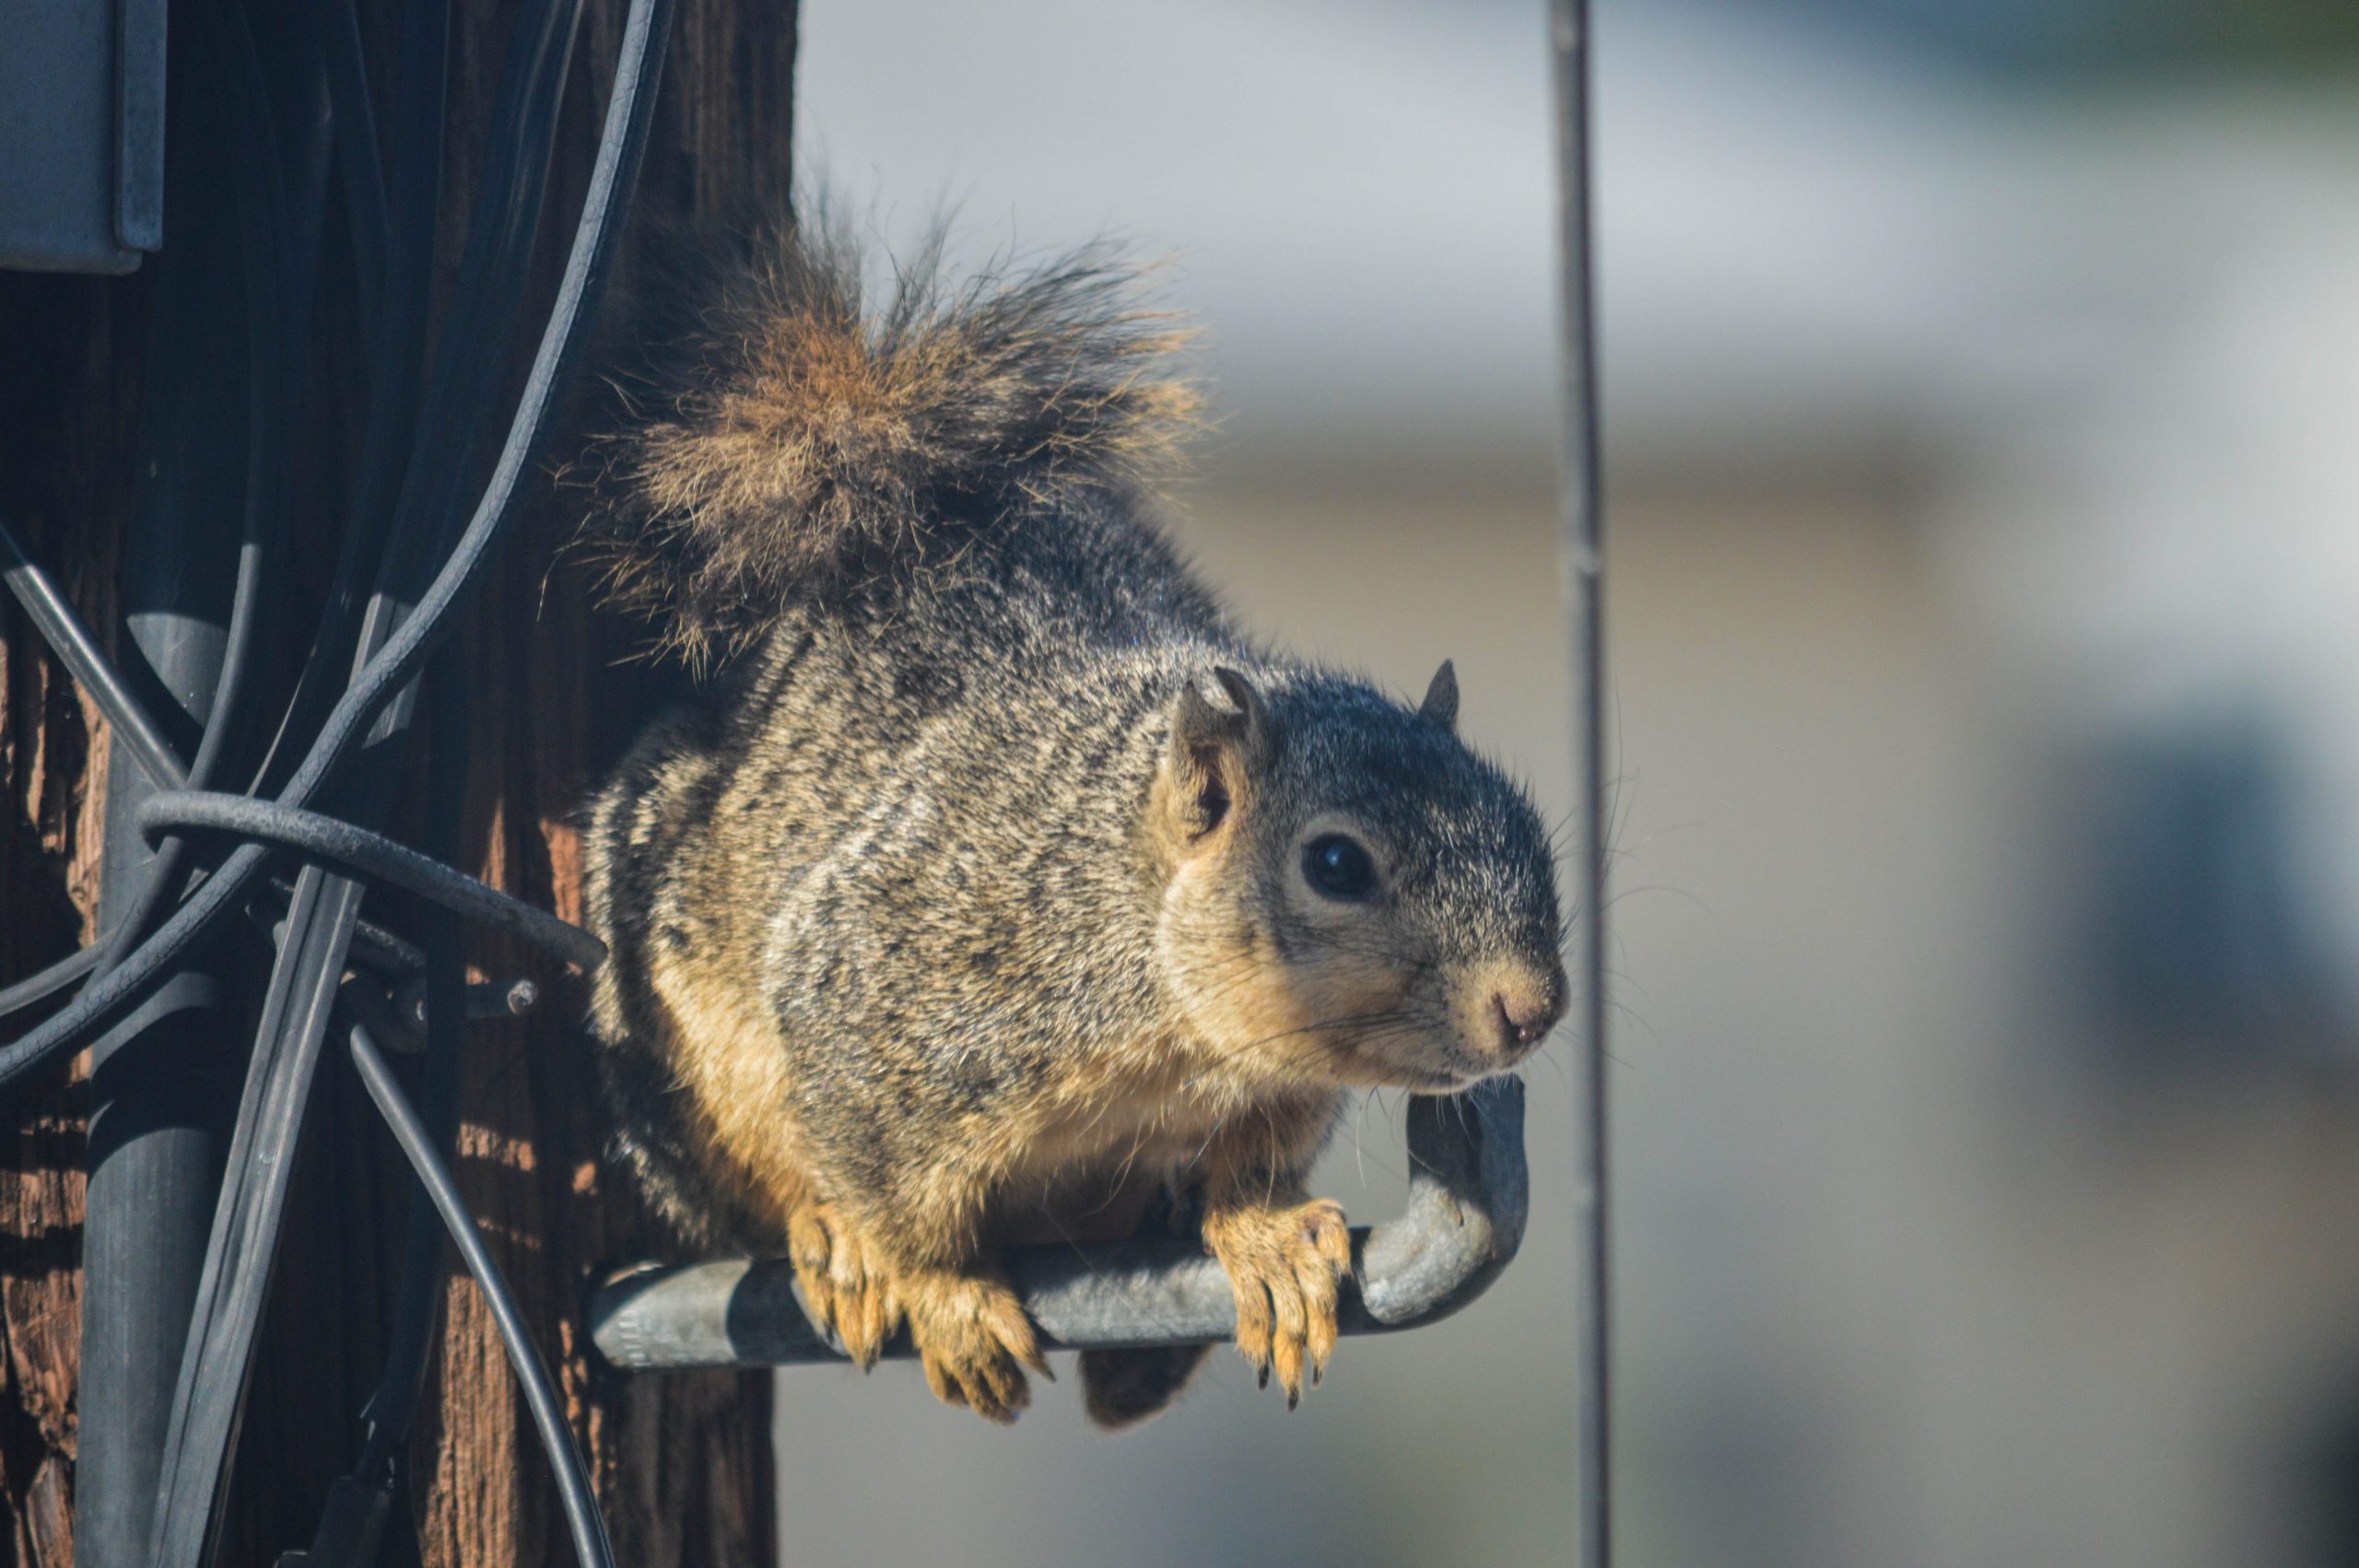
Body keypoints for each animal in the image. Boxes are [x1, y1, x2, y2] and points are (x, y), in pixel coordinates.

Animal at [575, 220, 1566, 1433]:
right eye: (1335, 862)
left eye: (1526, 828)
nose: (1532, 1008)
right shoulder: (887, 985)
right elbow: (893, 1188)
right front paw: (942, 1295)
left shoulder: (1270, 1088)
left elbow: (1254, 1167)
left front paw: (1265, 1238)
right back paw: (831, 1241)